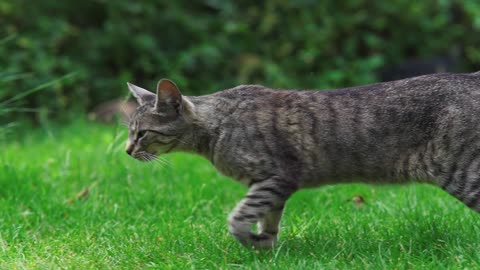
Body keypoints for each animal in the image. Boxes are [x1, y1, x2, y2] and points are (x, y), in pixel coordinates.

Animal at [125, 72, 480, 249]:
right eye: (129, 132)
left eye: (142, 133)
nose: (127, 151)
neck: (216, 128)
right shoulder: (268, 185)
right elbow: (267, 218)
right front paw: (265, 246)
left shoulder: (277, 177)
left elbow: (238, 218)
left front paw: (251, 241)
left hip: (463, 172)